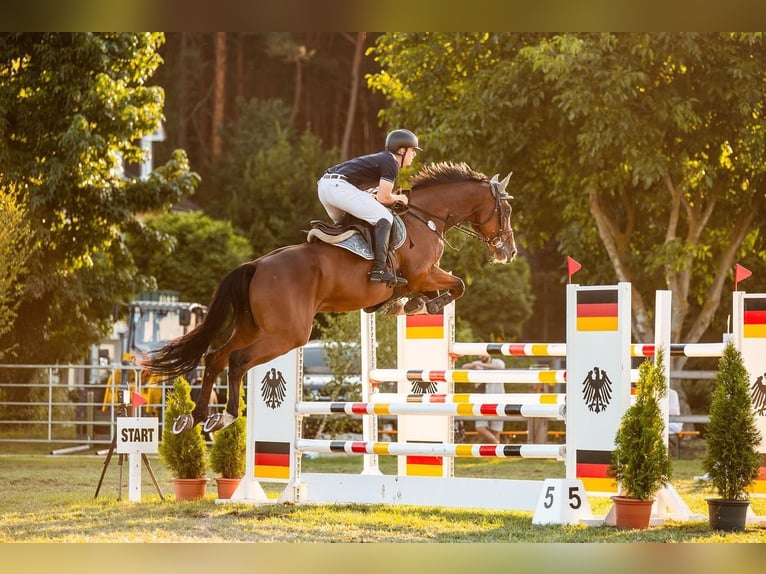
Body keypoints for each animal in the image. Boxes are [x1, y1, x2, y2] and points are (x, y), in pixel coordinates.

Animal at [140, 161, 517, 433]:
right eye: (506, 210)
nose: (509, 252)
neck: (427, 217)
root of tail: (256, 265)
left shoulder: (422, 278)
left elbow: (439, 290)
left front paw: (409, 305)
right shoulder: (423, 273)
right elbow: (457, 285)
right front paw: (426, 304)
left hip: (253, 327)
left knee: (216, 358)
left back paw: (196, 418)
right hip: (288, 334)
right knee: (237, 361)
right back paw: (226, 417)